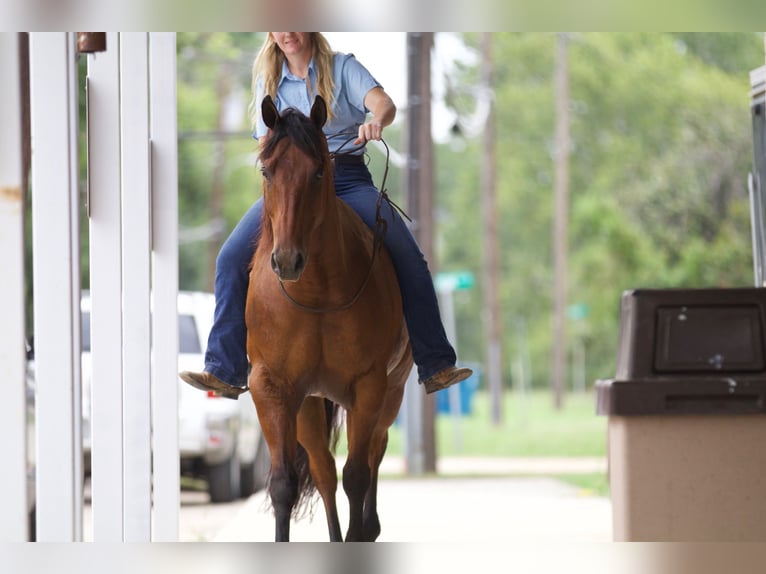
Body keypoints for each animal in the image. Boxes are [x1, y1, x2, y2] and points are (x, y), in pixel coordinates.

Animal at [246, 95, 414, 544]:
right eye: (267, 171)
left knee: (373, 453)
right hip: (308, 404)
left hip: (389, 394)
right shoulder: (271, 387)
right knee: (322, 470)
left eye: (319, 171)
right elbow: (284, 484)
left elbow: (357, 475)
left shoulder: (369, 386)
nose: (287, 260)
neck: (315, 295)